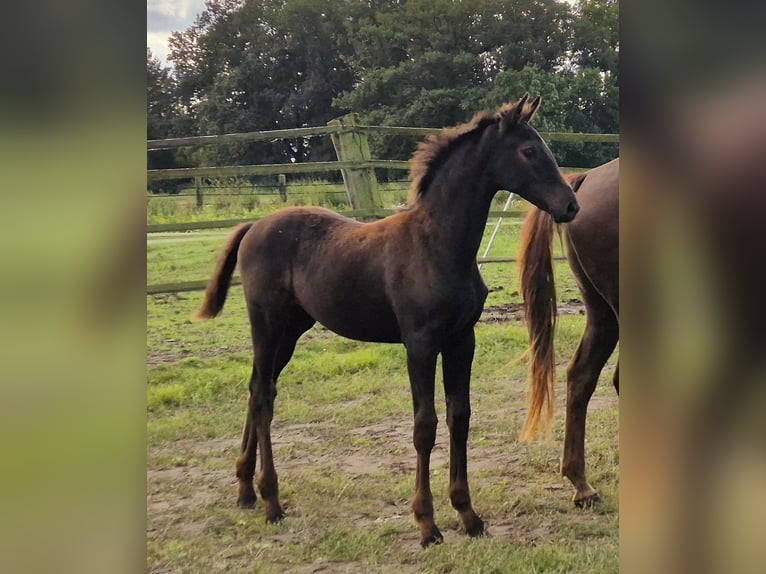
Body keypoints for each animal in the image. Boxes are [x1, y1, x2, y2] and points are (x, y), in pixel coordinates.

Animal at [193, 95, 580, 547]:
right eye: (529, 150)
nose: (570, 205)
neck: (438, 245)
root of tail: (257, 225)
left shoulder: (461, 340)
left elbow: (460, 417)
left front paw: (468, 514)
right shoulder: (420, 343)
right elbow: (425, 425)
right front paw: (427, 524)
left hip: (291, 331)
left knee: (258, 388)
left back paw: (245, 490)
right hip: (267, 324)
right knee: (263, 397)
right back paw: (271, 501)